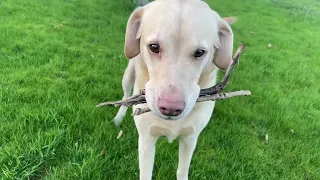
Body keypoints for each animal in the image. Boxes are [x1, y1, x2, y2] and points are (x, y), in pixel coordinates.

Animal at [114, 0, 236, 180]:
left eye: (200, 52)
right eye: (154, 47)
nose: (171, 108)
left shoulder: (190, 138)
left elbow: (182, 170)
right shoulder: (146, 139)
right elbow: (146, 173)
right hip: (128, 75)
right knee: (125, 97)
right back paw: (119, 117)